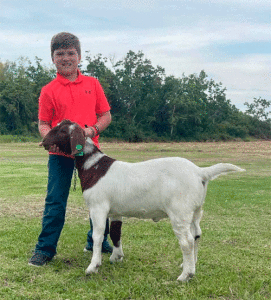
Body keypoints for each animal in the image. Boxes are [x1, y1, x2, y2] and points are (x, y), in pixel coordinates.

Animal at [42, 119, 246, 282]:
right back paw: (189, 265)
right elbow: (115, 233)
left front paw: (93, 266)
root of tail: (200, 172)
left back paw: (185, 276)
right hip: (196, 210)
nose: (43, 141)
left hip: (180, 211)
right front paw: (116, 257)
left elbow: (98, 236)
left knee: (186, 241)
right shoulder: (115, 211)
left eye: (62, 130)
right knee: (197, 234)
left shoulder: (97, 207)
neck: (94, 166)